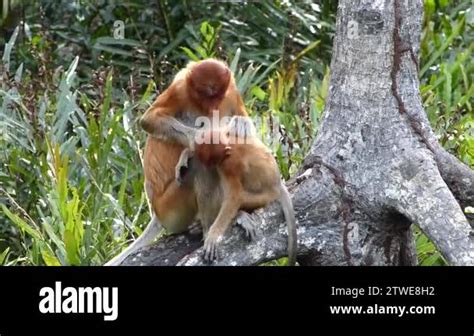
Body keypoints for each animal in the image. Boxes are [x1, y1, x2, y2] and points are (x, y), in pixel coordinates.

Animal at [178, 115, 296, 266]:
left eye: (212, 161)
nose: (209, 165)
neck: (230, 142)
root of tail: (278, 183)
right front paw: (185, 156)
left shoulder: (228, 164)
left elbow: (235, 196)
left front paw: (212, 235)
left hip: (266, 195)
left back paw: (237, 216)